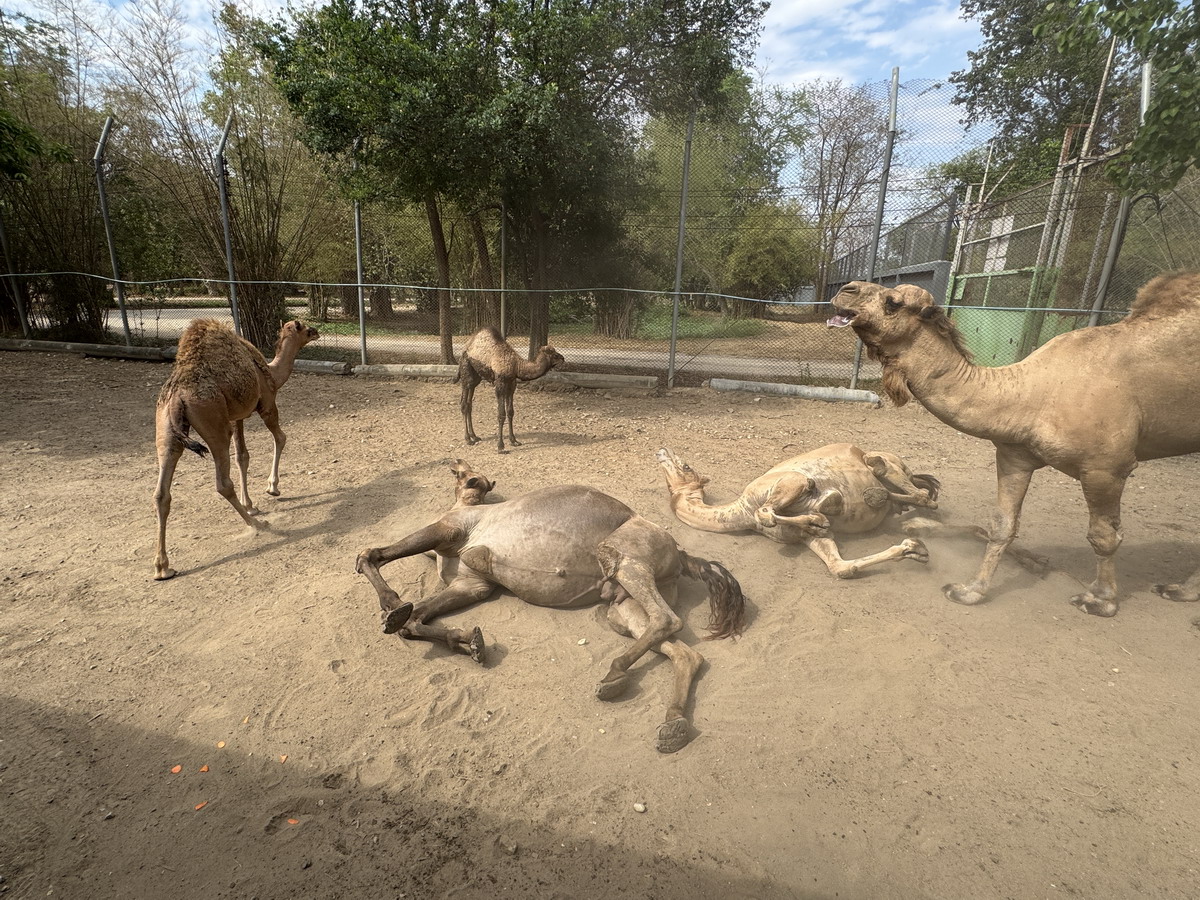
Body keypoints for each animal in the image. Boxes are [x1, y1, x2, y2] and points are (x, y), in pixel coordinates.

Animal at [154, 321, 319, 580]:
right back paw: (259, 526)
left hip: (166, 432)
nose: (317, 331)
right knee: (222, 483)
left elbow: (243, 456)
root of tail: (178, 397)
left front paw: (250, 504)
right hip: (213, 423)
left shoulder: (236, 417)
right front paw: (272, 488)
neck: (271, 371)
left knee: (162, 492)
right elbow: (280, 438)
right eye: (304, 328)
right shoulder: (267, 404)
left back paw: (163, 568)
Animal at [357, 460, 748, 758]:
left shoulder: (448, 531)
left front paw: (391, 605)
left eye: (469, 476)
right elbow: (416, 619)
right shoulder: (471, 585)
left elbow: (370, 555)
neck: (467, 509)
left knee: (668, 619)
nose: (456, 464)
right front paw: (471, 642)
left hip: (625, 559)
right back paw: (670, 724)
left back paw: (614, 675)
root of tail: (682, 554)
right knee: (681, 648)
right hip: (622, 608)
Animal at [657, 444, 936, 578]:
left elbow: (766, 512)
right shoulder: (808, 539)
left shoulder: (794, 480)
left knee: (919, 493)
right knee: (915, 498)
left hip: (893, 466)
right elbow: (840, 567)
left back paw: (877, 486)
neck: (742, 511)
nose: (662, 450)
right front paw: (913, 549)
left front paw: (820, 513)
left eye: (685, 465)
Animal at [825, 271, 1200, 619]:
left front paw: (1101, 600)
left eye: (894, 302)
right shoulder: (1014, 456)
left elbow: (1103, 536)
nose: (846, 290)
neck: (1033, 394)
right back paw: (1180, 590)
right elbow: (1002, 526)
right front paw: (970, 591)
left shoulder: (1106, 466)